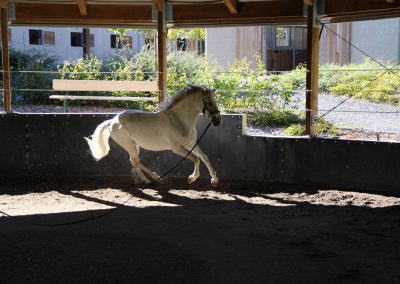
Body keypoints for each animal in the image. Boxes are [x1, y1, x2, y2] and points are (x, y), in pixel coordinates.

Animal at [85, 84, 222, 187]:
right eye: (210, 102)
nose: (218, 122)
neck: (178, 120)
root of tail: (112, 120)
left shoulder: (191, 143)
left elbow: (204, 157)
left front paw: (214, 180)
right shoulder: (178, 148)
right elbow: (196, 159)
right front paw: (192, 178)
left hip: (135, 145)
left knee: (134, 161)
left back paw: (150, 179)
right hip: (129, 145)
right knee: (136, 161)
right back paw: (154, 179)